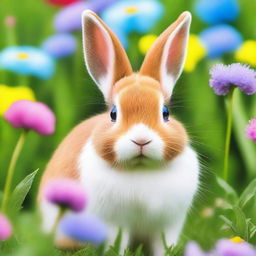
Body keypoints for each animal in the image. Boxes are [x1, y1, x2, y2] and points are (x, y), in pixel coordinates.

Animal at [38, 10, 201, 256]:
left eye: (165, 113)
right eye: (113, 114)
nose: (141, 140)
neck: (141, 169)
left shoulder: (168, 224)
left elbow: (162, 246)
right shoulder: (113, 224)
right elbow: (117, 243)